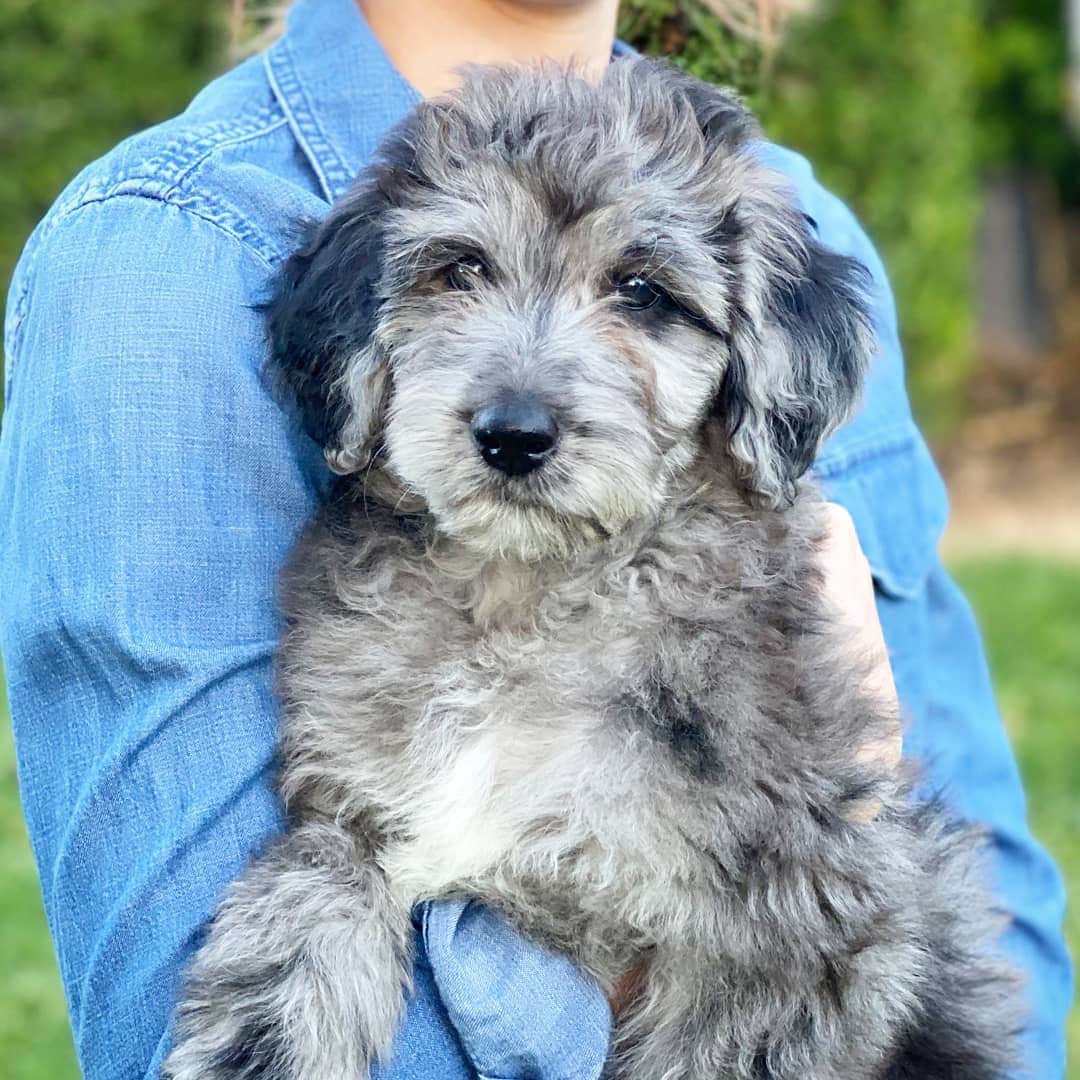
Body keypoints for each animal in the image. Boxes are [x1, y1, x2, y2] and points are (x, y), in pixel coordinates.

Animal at [162, 59, 1019, 1080]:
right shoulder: (351, 809)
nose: (514, 434)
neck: (529, 603)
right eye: (460, 270)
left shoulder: (784, 931)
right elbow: (303, 909)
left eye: (644, 292)